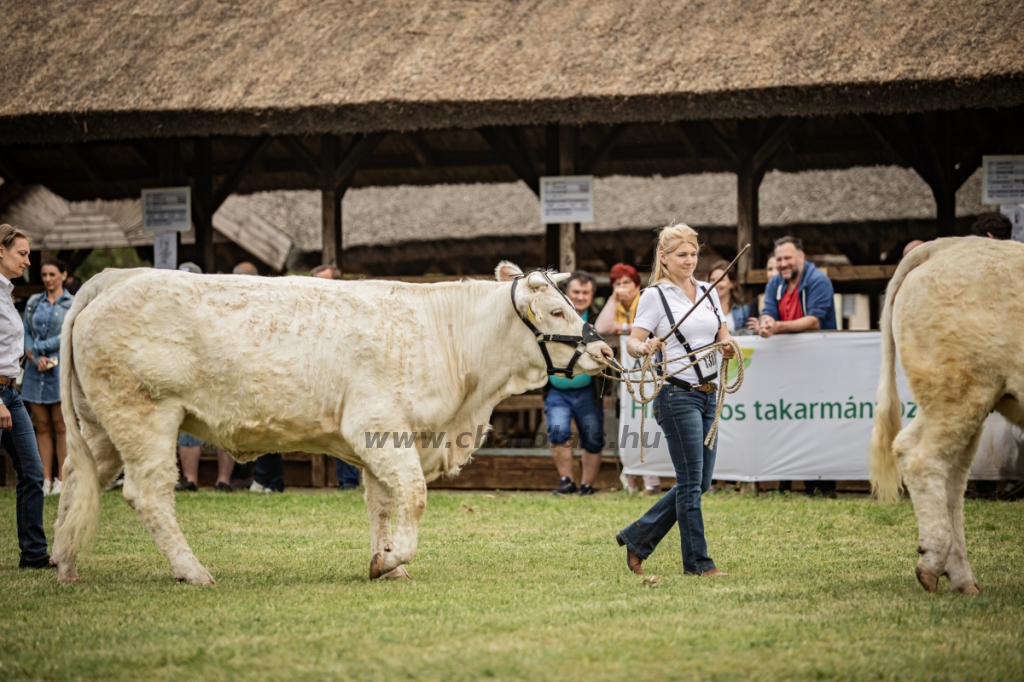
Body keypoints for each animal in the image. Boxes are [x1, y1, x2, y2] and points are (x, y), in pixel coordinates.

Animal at [51, 262, 610, 581]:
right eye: (558, 312)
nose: (605, 350)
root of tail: (113, 280)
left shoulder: (383, 441)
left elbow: (382, 504)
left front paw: (385, 562)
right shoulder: (380, 427)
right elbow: (413, 496)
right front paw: (394, 559)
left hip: (99, 427)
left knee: (77, 482)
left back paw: (65, 564)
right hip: (146, 415)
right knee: (147, 494)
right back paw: (193, 572)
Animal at [872, 236, 1024, 593]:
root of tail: (943, 245)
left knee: (952, 481)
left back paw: (962, 578)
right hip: (959, 391)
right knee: (920, 456)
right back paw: (932, 563)